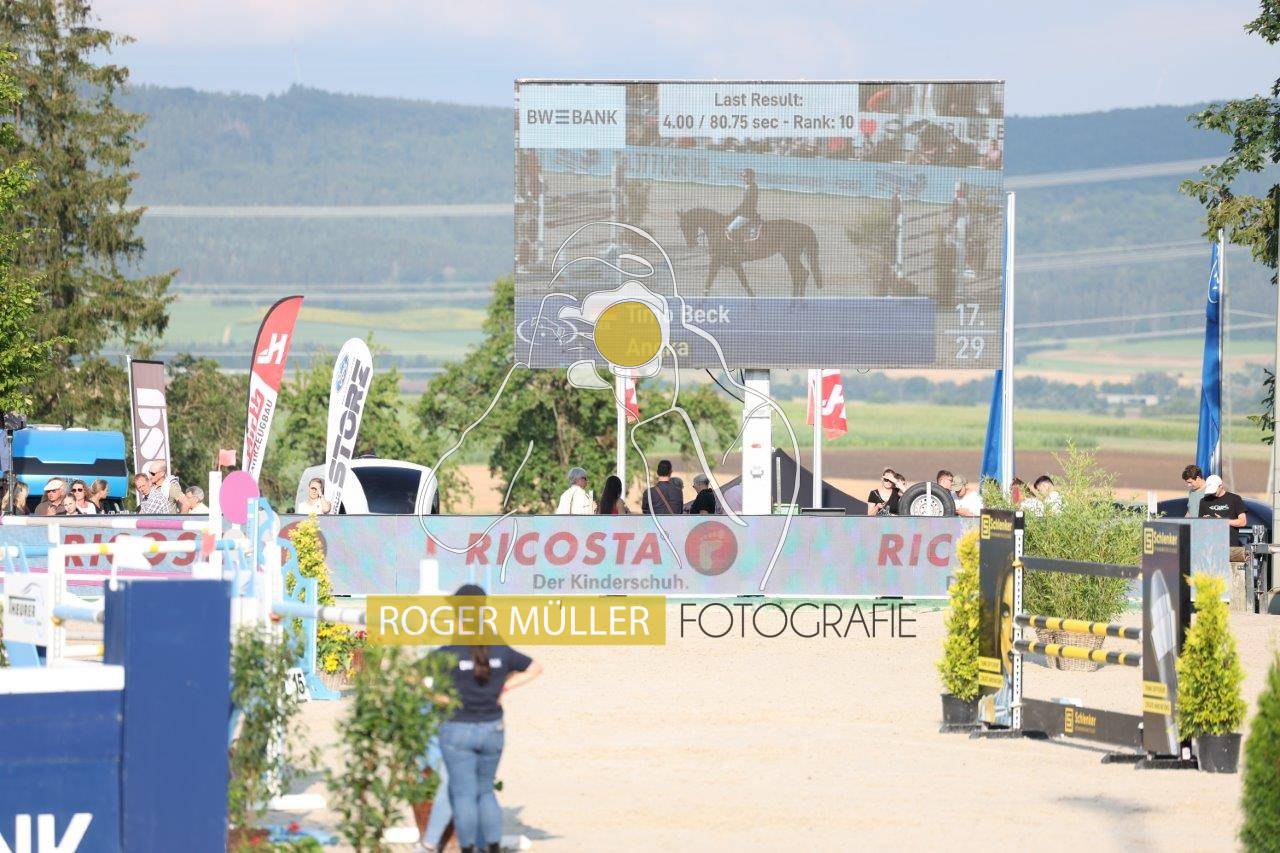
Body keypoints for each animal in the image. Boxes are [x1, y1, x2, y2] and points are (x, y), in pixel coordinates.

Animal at [677, 208, 824, 297]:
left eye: (685, 226)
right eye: (681, 228)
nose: (691, 244)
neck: (718, 229)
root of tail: (802, 226)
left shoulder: (720, 261)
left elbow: (710, 283)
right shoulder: (731, 263)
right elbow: (743, 284)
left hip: (790, 256)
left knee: (800, 274)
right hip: (791, 257)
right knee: (800, 274)